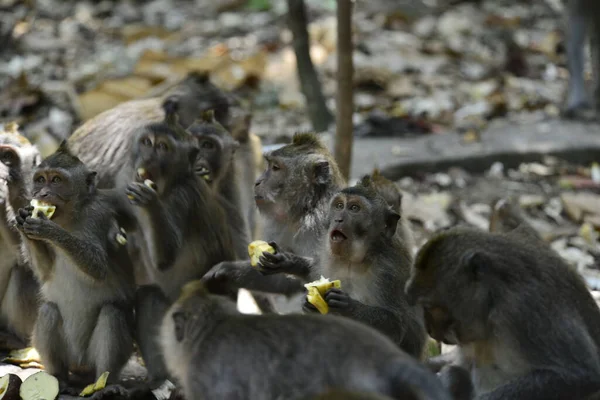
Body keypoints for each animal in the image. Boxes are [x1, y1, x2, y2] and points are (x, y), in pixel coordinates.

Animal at [13, 142, 136, 386]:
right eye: (40, 179)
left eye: (56, 180)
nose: (41, 194)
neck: (70, 216)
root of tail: (80, 366)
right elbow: (45, 272)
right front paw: (24, 221)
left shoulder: (98, 216)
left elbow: (98, 267)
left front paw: (49, 230)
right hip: (68, 355)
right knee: (48, 311)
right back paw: (58, 378)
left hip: (94, 358)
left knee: (112, 314)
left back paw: (105, 385)